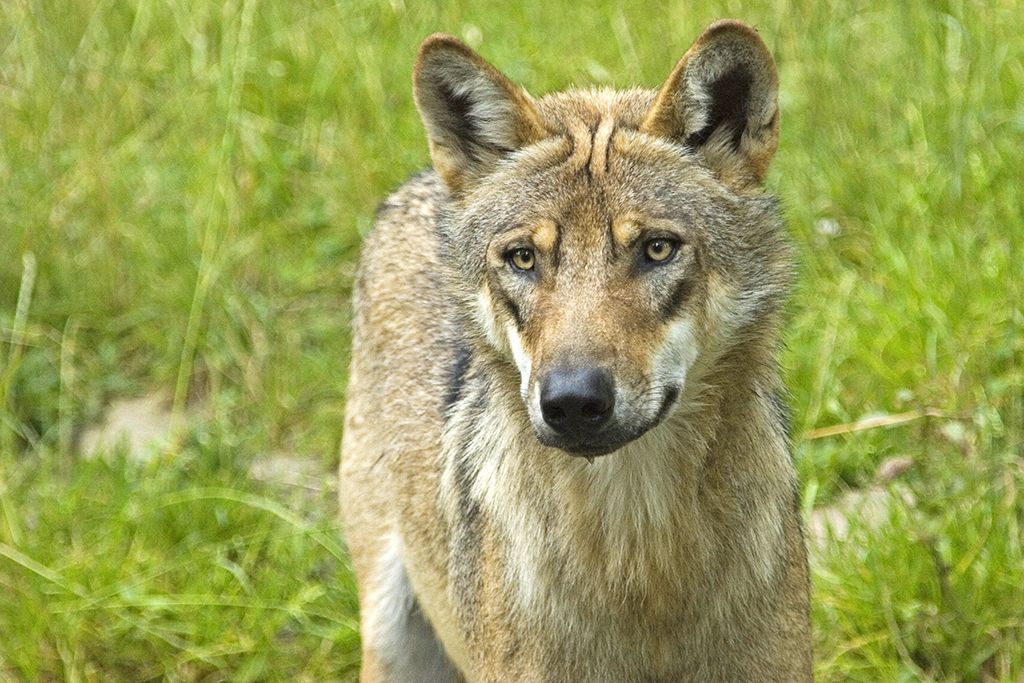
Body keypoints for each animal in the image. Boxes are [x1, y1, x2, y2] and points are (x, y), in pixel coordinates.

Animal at [339, 20, 811, 683]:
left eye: (657, 249)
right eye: (523, 258)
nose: (572, 402)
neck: (640, 569)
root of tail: (418, 182)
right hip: (391, 641)